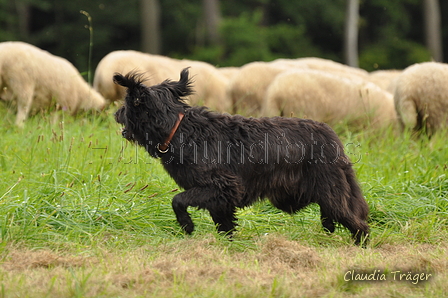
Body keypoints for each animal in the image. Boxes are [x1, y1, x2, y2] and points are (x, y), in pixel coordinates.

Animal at [114, 68, 370, 246]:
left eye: (126, 105)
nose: (115, 112)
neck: (179, 130)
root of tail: (332, 136)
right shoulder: (221, 198)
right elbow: (225, 226)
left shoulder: (222, 185)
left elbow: (177, 200)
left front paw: (186, 225)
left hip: (329, 191)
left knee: (358, 224)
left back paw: (360, 246)